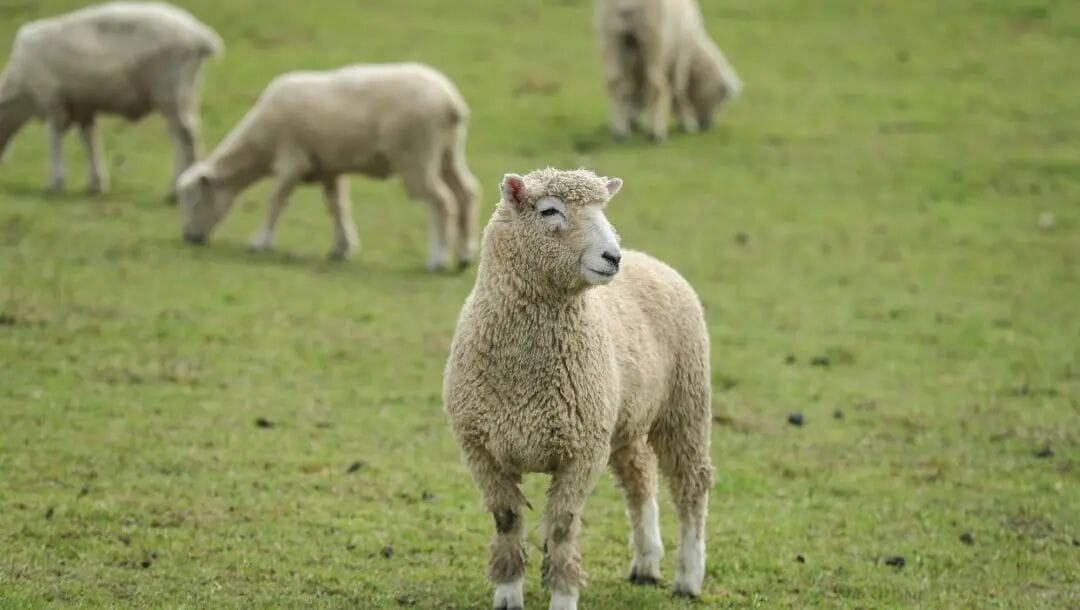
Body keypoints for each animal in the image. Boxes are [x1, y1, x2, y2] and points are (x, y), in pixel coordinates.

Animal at [0, 1, 222, 198]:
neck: (21, 98)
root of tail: (199, 35)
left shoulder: (53, 101)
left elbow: (54, 140)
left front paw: (54, 183)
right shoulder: (83, 107)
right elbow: (89, 140)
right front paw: (96, 184)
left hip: (170, 91)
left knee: (186, 137)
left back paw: (175, 191)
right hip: (185, 94)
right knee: (183, 135)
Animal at [176, 63, 479, 268]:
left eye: (195, 200)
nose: (189, 238)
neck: (259, 147)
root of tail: (451, 103)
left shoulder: (291, 161)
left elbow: (276, 201)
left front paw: (260, 242)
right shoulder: (329, 169)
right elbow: (337, 207)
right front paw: (341, 248)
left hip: (417, 156)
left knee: (441, 201)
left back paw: (437, 259)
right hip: (447, 154)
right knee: (466, 193)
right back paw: (464, 256)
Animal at [443, 168, 714, 609]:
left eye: (603, 210)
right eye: (550, 210)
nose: (612, 257)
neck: (524, 375)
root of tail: (648, 258)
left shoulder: (581, 452)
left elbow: (562, 527)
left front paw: (563, 594)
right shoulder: (481, 449)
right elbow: (507, 520)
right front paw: (508, 591)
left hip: (685, 403)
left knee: (692, 484)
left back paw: (688, 577)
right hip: (623, 419)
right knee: (640, 479)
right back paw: (646, 562)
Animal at [596, 0, 742, 142]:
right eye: (722, 98)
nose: (709, 125)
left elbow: (632, 91)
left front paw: (631, 119)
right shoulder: (681, 58)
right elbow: (679, 90)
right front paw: (687, 123)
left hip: (611, 36)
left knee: (615, 83)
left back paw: (620, 132)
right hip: (655, 40)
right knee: (657, 86)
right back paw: (657, 133)